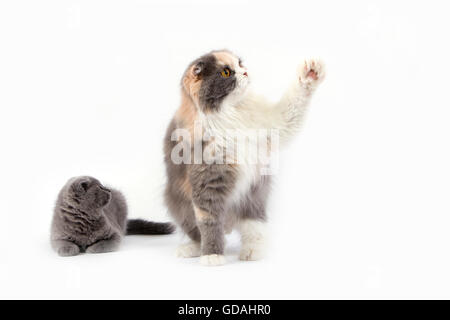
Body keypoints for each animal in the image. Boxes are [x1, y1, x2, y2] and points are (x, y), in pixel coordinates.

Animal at [163, 50, 326, 264]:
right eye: (226, 72)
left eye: (240, 64)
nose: (246, 72)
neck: (232, 113)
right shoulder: (207, 186)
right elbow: (209, 224)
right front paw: (212, 255)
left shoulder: (275, 124)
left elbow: (293, 104)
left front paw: (311, 73)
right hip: (179, 206)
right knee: (196, 234)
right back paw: (192, 249)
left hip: (253, 202)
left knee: (253, 230)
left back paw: (253, 252)